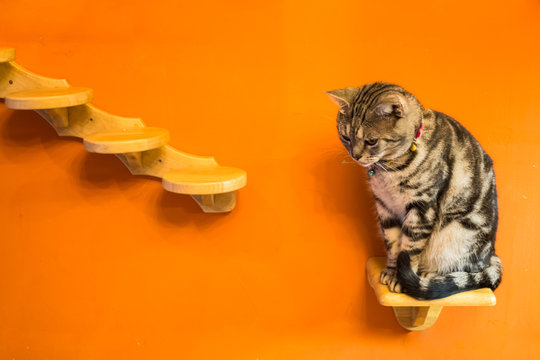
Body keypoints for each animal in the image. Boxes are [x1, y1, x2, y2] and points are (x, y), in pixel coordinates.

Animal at [330, 83, 502, 300]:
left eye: (371, 141)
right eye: (345, 137)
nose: (355, 155)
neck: (390, 168)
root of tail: (492, 254)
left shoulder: (421, 208)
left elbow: (410, 248)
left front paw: (400, 279)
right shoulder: (385, 207)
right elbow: (393, 244)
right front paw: (391, 271)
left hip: (458, 235)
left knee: (466, 268)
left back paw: (429, 273)